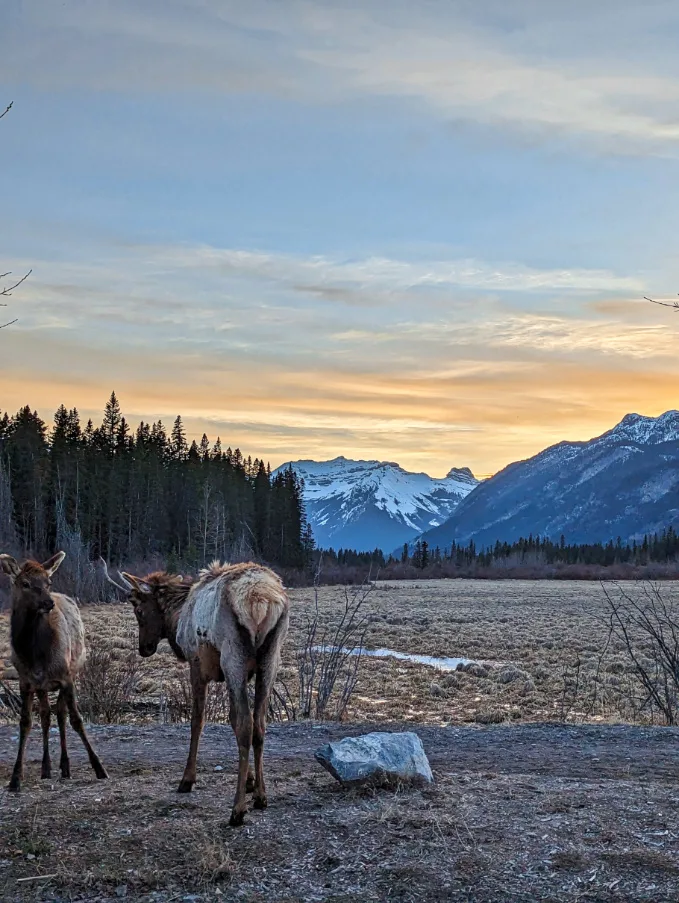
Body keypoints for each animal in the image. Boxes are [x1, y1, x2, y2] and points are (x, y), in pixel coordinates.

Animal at [0, 552, 107, 792]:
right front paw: (15, 778)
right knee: (47, 715)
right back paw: (46, 768)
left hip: (70, 672)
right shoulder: (25, 682)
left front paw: (99, 768)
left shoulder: (66, 678)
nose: (48, 602)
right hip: (42, 687)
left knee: (60, 713)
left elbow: (76, 719)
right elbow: (26, 723)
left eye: (48, 581)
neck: (36, 655)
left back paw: (65, 766)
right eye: (25, 583)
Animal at [106, 556, 290, 828]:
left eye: (138, 609)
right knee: (259, 724)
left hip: (233, 655)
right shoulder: (248, 672)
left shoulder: (196, 662)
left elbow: (197, 720)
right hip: (270, 658)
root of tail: (262, 599)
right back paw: (261, 796)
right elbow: (232, 719)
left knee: (246, 725)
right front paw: (249, 782)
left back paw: (237, 810)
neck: (177, 617)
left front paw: (187, 779)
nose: (144, 648)